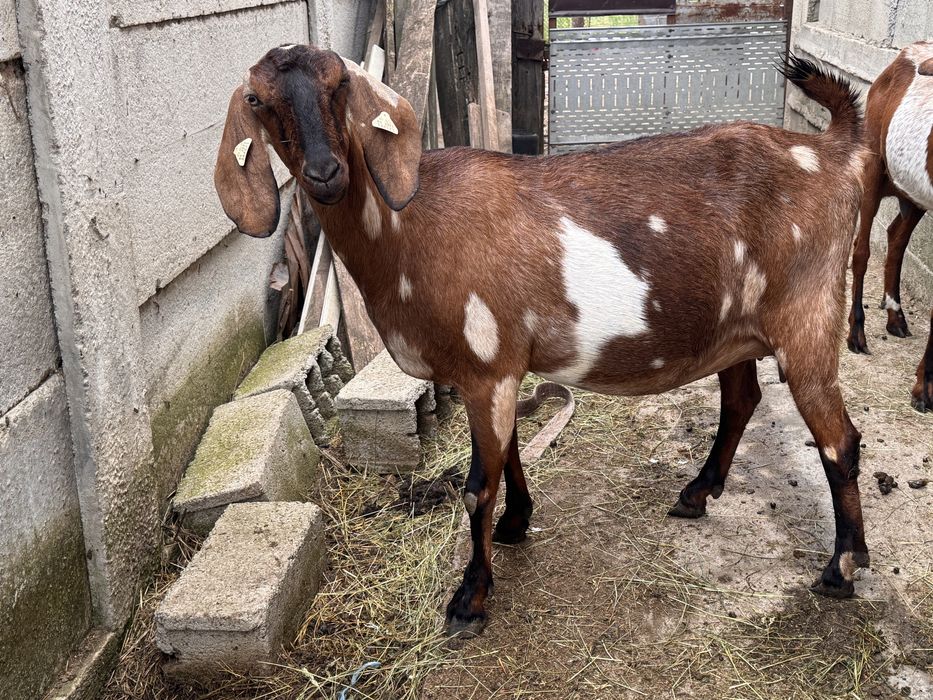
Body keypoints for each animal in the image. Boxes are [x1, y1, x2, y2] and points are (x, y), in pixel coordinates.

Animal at [215, 46, 870, 636]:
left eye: (341, 85)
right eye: (259, 101)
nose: (326, 173)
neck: (412, 228)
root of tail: (834, 152)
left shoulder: (488, 368)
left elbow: (478, 486)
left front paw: (469, 600)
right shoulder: (499, 371)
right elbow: (509, 453)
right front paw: (515, 524)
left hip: (809, 315)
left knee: (839, 442)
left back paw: (841, 568)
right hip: (733, 330)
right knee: (741, 402)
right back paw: (696, 494)